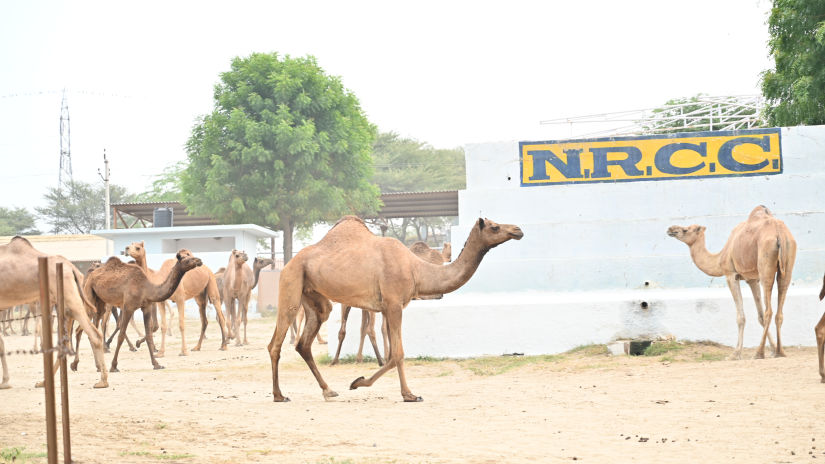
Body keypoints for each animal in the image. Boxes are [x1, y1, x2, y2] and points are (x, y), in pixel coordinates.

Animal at [0, 236, 108, 388]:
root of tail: (72, 268)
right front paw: (5, 381)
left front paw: (4, 382)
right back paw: (45, 381)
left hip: (69, 298)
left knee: (93, 334)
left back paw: (102, 381)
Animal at [268, 216, 520, 400]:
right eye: (495, 226)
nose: (518, 230)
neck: (416, 269)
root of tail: (288, 263)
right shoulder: (394, 304)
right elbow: (398, 353)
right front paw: (409, 394)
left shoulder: (389, 307)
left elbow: (391, 354)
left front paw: (358, 382)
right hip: (291, 284)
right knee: (276, 343)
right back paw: (279, 395)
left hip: (315, 298)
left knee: (304, 344)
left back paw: (328, 390)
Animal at [668, 205, 796, 360]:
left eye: (686, 229)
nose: (670, 229)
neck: (720, 257)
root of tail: (780, 234)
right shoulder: (752, 279)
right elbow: (759, 317)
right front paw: (771, 350)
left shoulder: (731, 275)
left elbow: (741, 317)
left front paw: (735, 354)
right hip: (787, 263)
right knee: (779, 310)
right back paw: (780, 352)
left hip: (765, 267)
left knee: (769, 311)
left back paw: (758, 353)